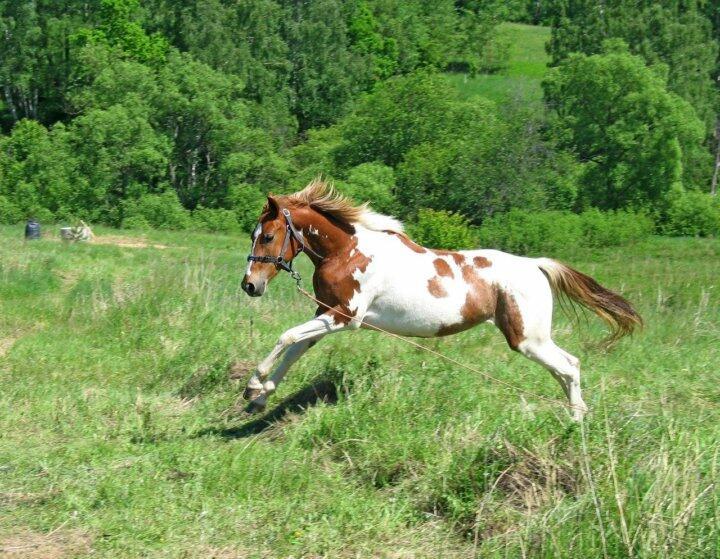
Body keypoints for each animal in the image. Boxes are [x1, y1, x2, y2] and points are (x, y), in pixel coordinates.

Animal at [240, 179, 640, 420]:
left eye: (269, 236)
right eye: (254, 234)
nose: (250, 285)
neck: (347, 253)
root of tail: (536, 266)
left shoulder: (344, 318)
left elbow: (287, 337)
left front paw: (253, 384)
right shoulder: (324, 313)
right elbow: (295, 349)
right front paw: (261, 396)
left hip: (528, 338)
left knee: (569, 366)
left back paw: (575, 421)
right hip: (533, 339)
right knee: (566, 367)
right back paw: (575, 416)